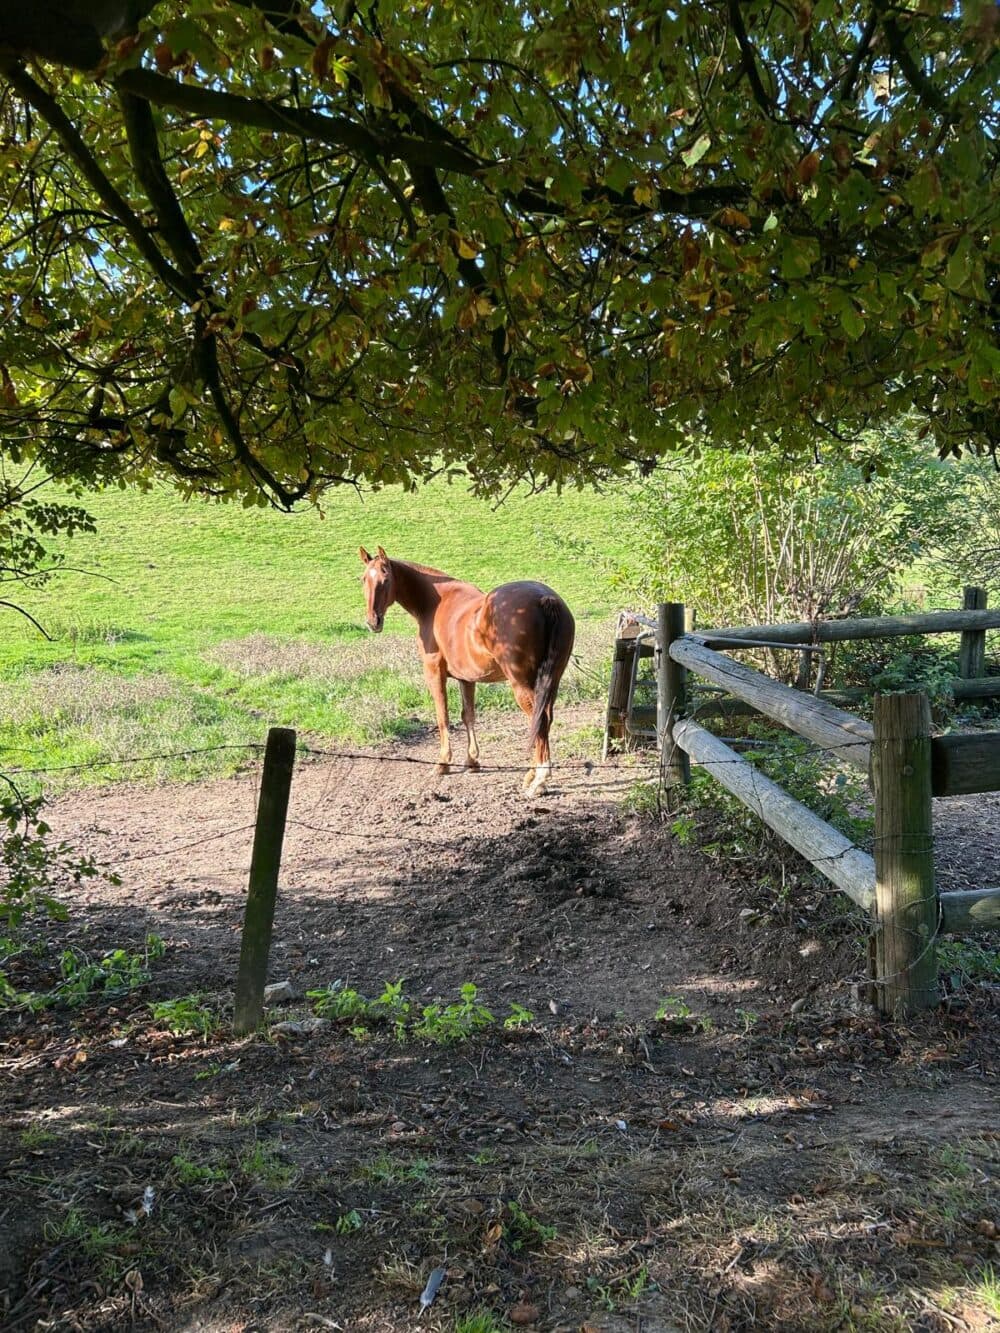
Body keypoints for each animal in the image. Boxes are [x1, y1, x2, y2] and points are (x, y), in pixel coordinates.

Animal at [359, 546, 575, 797]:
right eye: (363, 579)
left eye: (385, 579)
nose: (373, 622)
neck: (435, 603)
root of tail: (544, 598)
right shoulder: (467, 679)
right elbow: (468, 715)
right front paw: (472, 761)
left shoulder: (434, 673)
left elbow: (443, 716)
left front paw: (443, 763)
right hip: (551, 682)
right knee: (544, 720)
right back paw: (531, 775)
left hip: (522, 685)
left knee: (538, 720)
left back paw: (539, 780)